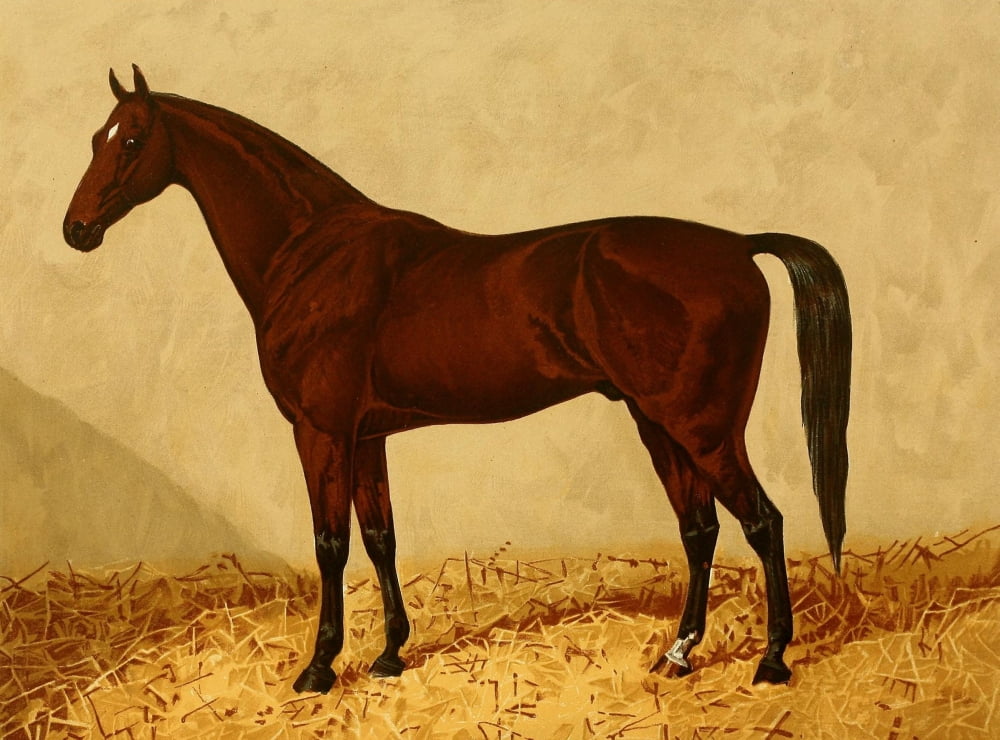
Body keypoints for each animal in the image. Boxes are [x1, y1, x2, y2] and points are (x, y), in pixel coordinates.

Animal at [63, 66, 851, 694]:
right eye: (96, 137)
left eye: (131, 140)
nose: (76, 230)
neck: (313, 251)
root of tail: (738, 246)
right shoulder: (367, 436)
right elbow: (380, 536)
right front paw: (389, 656)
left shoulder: (321, 432)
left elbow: (330, 544)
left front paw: (319, 668)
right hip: (658, 422)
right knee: (700, 528)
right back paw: (679, 654)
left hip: (703, 425)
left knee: (763, 522)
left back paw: (772, 661)